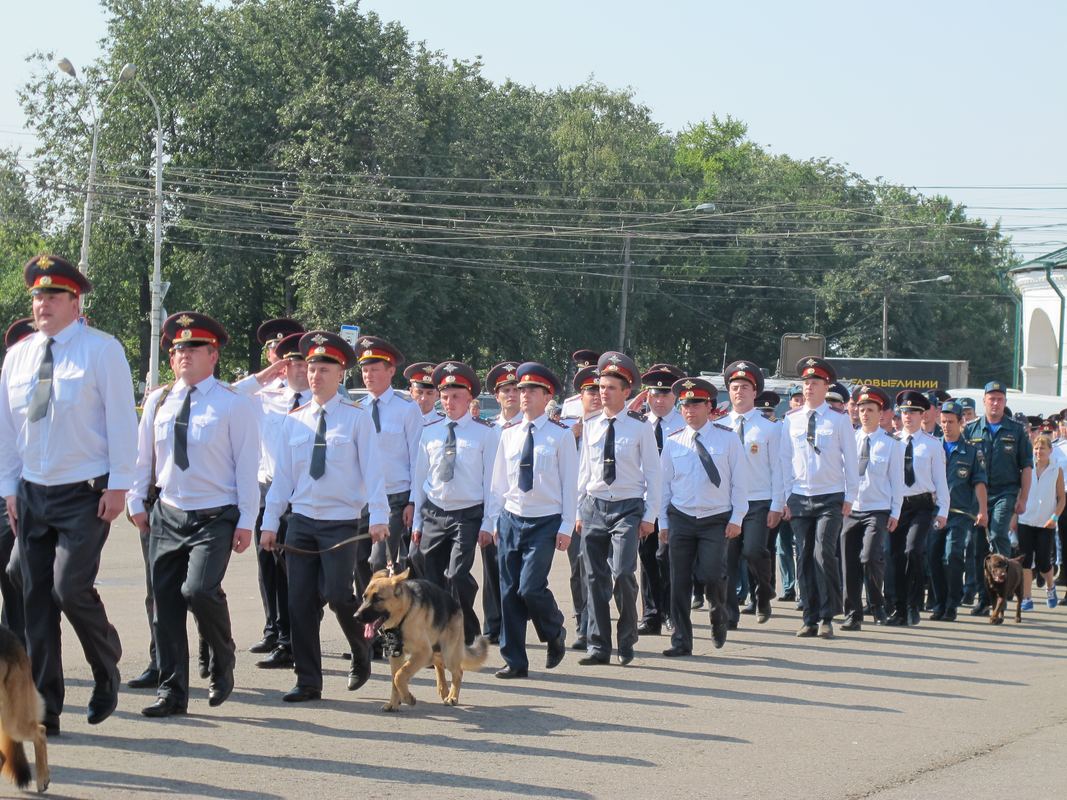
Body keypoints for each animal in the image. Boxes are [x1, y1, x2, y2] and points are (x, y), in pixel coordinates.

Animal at [358, 571, 490, 712]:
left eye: (378, 599)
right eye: (364, 597)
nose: (356, 616)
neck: (404, 614)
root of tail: (455, 604)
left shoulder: (422, 652)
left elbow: (400, 675)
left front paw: (407, 698)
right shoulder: (396, 655)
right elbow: (395, 679)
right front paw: (393, 703)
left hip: (448, 654)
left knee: (458, 672)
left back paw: (452, 697)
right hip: (436, 650)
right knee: (438, 663)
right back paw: (444, 690)